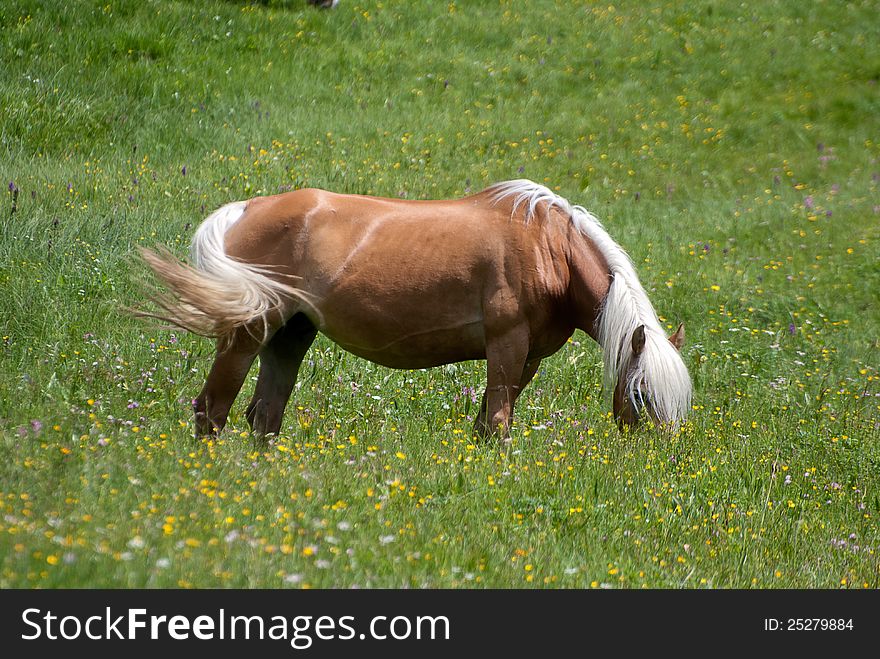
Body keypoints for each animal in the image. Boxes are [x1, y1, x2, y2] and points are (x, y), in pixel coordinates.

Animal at [141, 178, 696, 440]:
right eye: (642, 394)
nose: (657, 460)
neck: (549, 247)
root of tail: (247, 209)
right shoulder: (507, 345)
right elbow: (498, 424)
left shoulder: (528, 358)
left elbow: (487, 423)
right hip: (250, 332)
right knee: (212, 409)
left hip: (291, 335)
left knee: (265, 415)